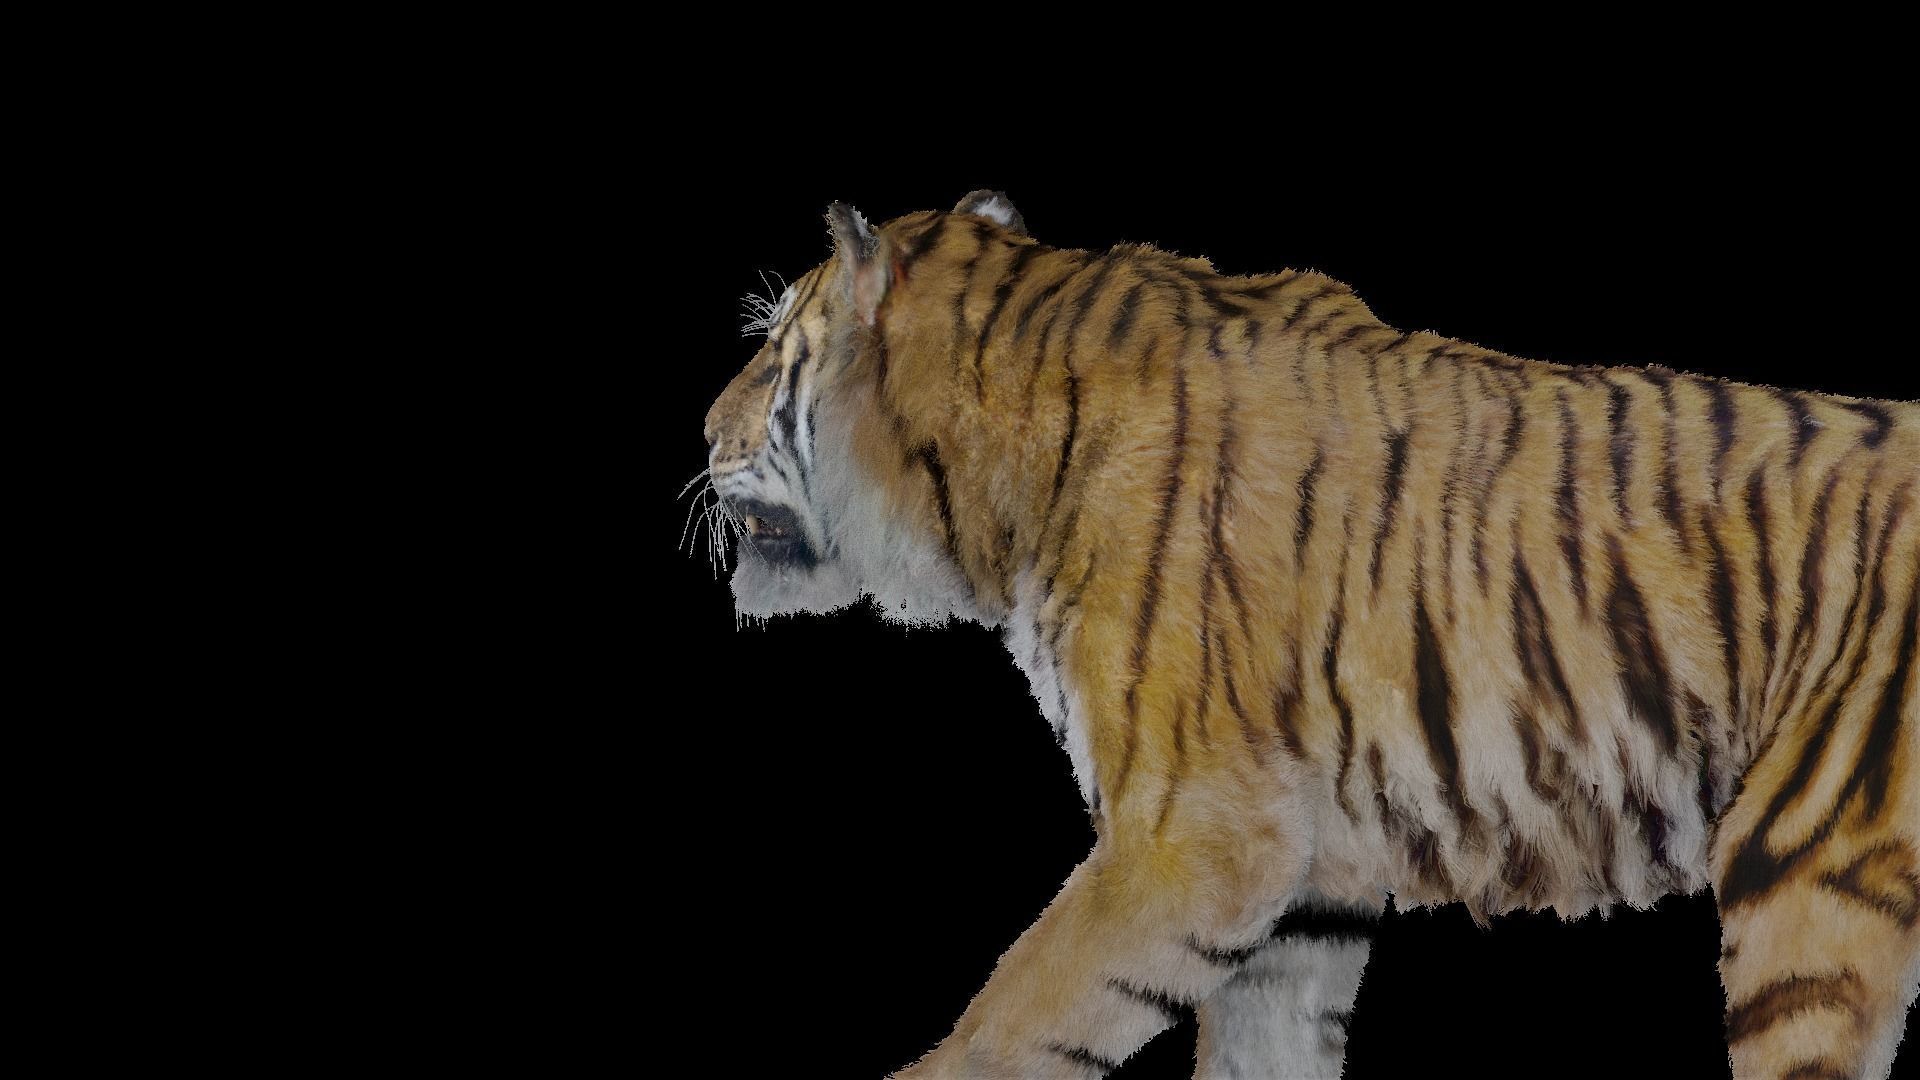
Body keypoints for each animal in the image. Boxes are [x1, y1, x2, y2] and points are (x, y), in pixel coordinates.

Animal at [692, 190, 1919, 1080]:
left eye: (772, 353)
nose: (703, 430)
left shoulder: (1192, 838)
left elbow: (1012, 1023)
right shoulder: (1303, 894)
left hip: (1812, 874)